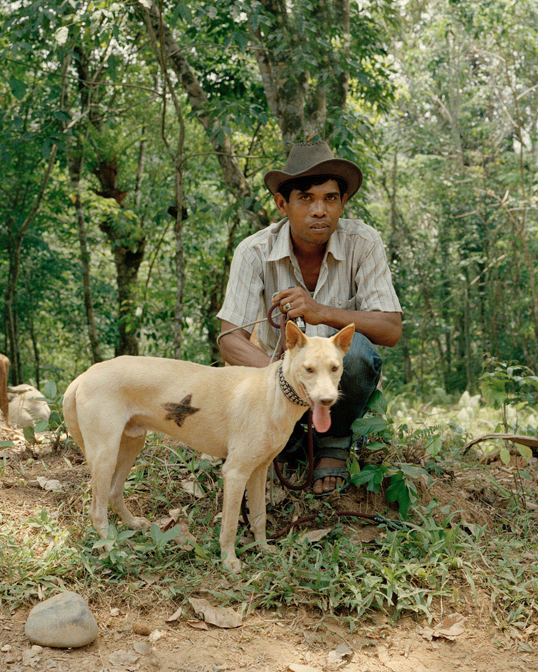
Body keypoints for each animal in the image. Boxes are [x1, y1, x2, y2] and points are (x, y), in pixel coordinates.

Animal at [62, 322, 354, 572]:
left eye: (335, 368)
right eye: (308, 369)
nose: (327, 400)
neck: (275, 394)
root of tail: (84, 375)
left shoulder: (259, 471)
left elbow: (259, 517)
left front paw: (263, 548)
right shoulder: (235, 473)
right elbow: (230, 525)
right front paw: (229, 560)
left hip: (131, 444)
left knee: (113, 493)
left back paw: (131, 524)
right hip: (105, 454)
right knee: (97, 511)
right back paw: (112, 549)